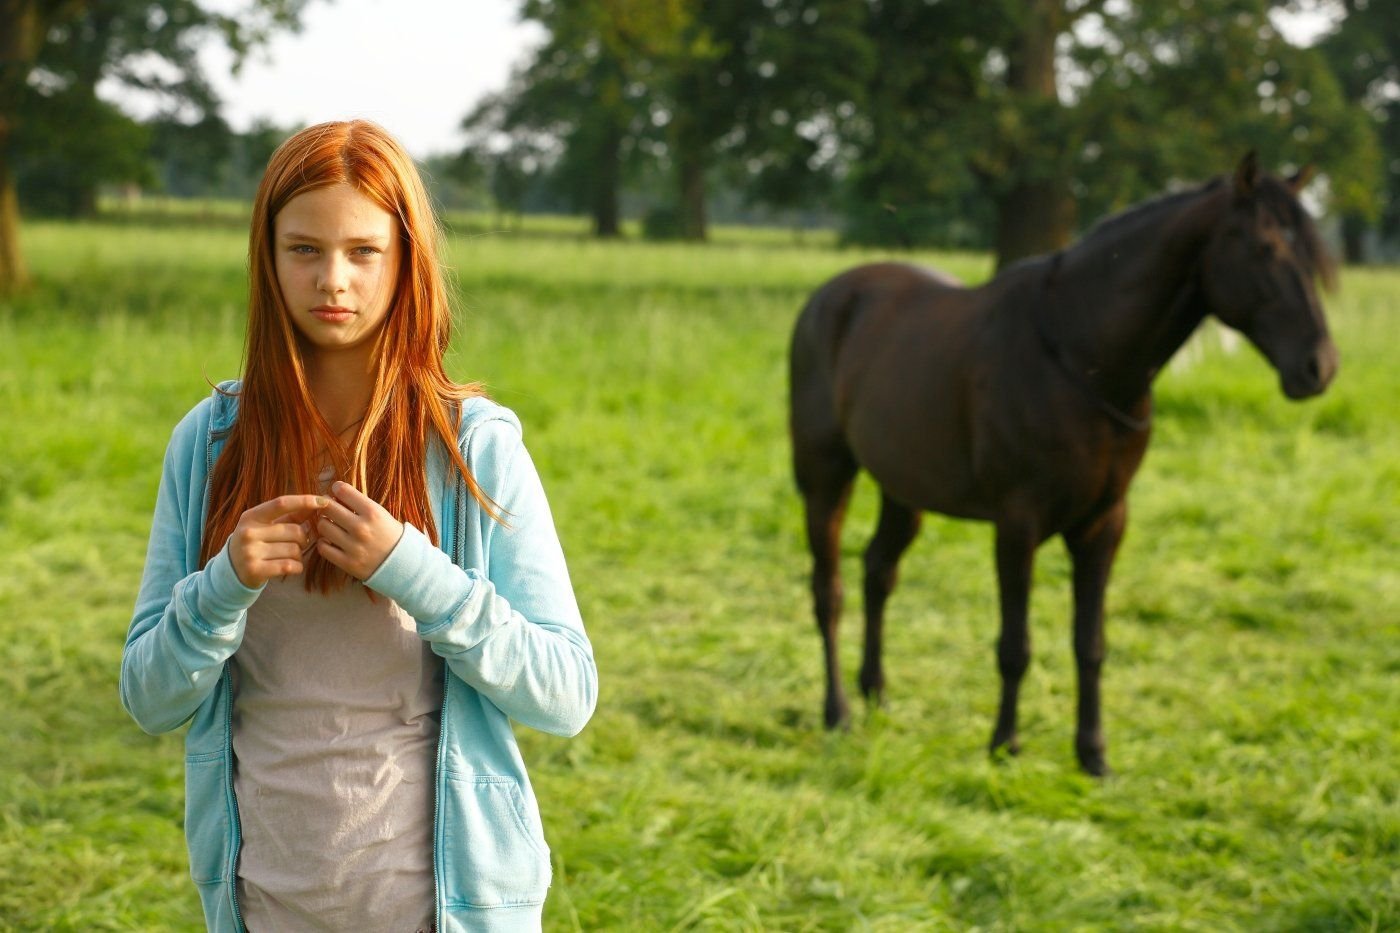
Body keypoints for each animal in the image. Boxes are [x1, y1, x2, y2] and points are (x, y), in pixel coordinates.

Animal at [795, 156, 1338, 773]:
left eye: (1310, 254)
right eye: (1265, 248)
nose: (1319, 366)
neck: (1081, 357)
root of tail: (828, 297)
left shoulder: (1104, 524)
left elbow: (1090, 644)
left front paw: (1093, 756)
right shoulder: (1017, 524)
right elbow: (1015, 644)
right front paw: (1004, 745)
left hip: (903, 489)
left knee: (878, 573)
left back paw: (876, 694)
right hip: (824, 478)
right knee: (829, 590)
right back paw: (837, 711)